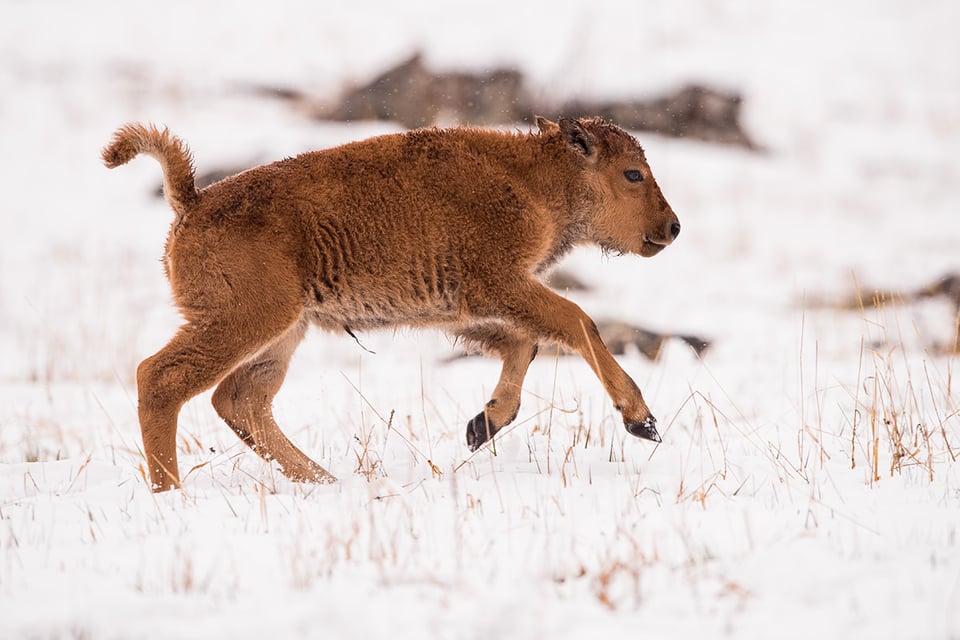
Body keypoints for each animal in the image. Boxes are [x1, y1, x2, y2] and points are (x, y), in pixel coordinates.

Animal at [101, 117, 680, 492]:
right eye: (632, 173)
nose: (672, 228)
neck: (535, 178)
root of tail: (193, 202)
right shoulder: (498, 285)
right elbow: (578, 323)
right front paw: (642, 420)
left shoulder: (471, 308)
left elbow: (526, 343)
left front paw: (482, 426)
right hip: (243, 322)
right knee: (161, 379)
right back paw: (171, 492)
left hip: (284, 332)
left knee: (240, 399)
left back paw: (326, 482)